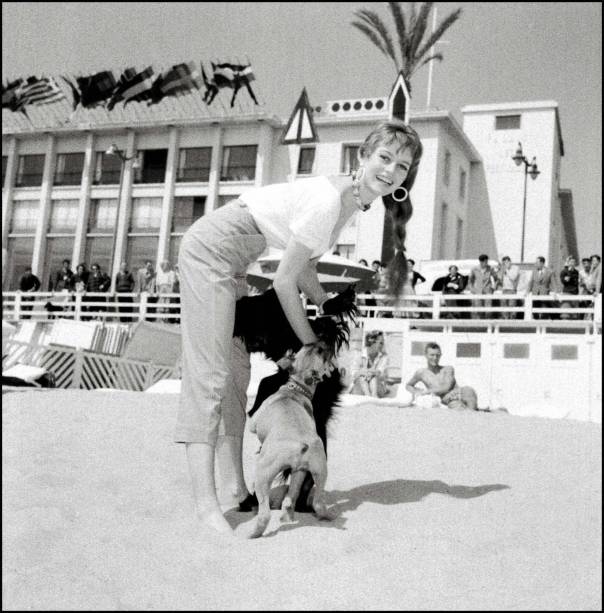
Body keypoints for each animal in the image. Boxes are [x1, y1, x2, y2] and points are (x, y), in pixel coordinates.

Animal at [234, 286, 358, 512]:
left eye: (253, 308)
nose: (237, 304)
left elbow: (266, 381)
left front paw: (254, 407)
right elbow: (267, 379)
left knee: (306, 483)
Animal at [243, 342, 338, 536]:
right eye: (312, 347)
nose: (324, 342)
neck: (297, 389)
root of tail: (301, 445)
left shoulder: (254, 424)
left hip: (263, 474)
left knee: (264, 513)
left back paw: (253, 534)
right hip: (314, 471)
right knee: (309, 501)